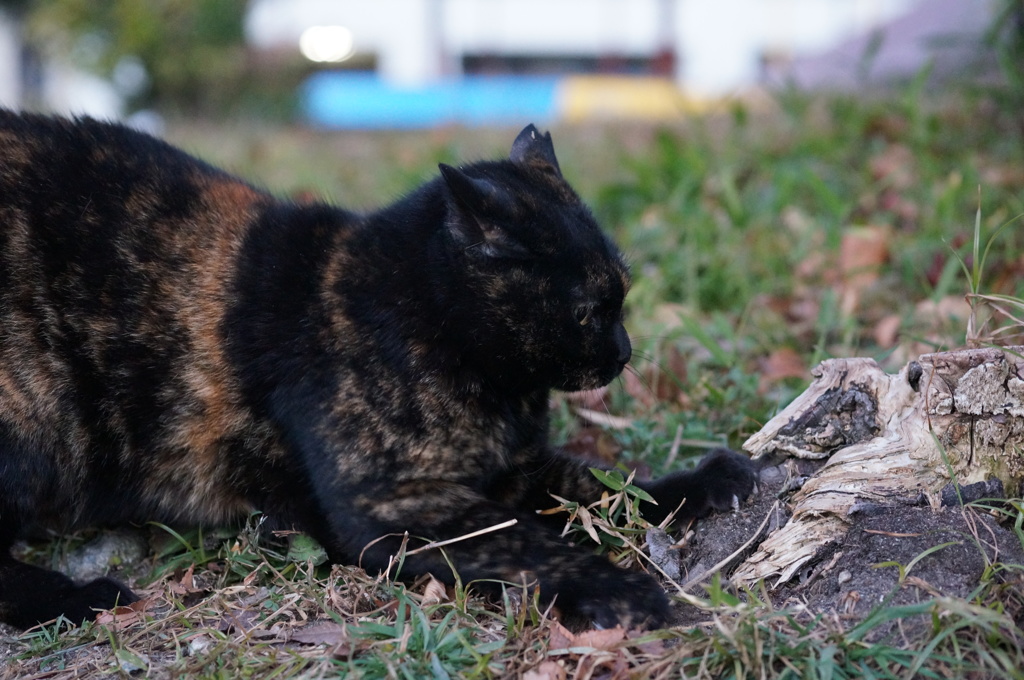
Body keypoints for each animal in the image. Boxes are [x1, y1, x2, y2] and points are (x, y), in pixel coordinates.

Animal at [0, 111, 753, 630]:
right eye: (591, 309)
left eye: (621, 297)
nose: (623, 352)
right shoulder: (396, 501)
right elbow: (530, 541)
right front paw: (619, 588)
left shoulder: (517, 471)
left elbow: (608, 486)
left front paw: (704, 480)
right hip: (36, 421)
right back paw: (78, 597)